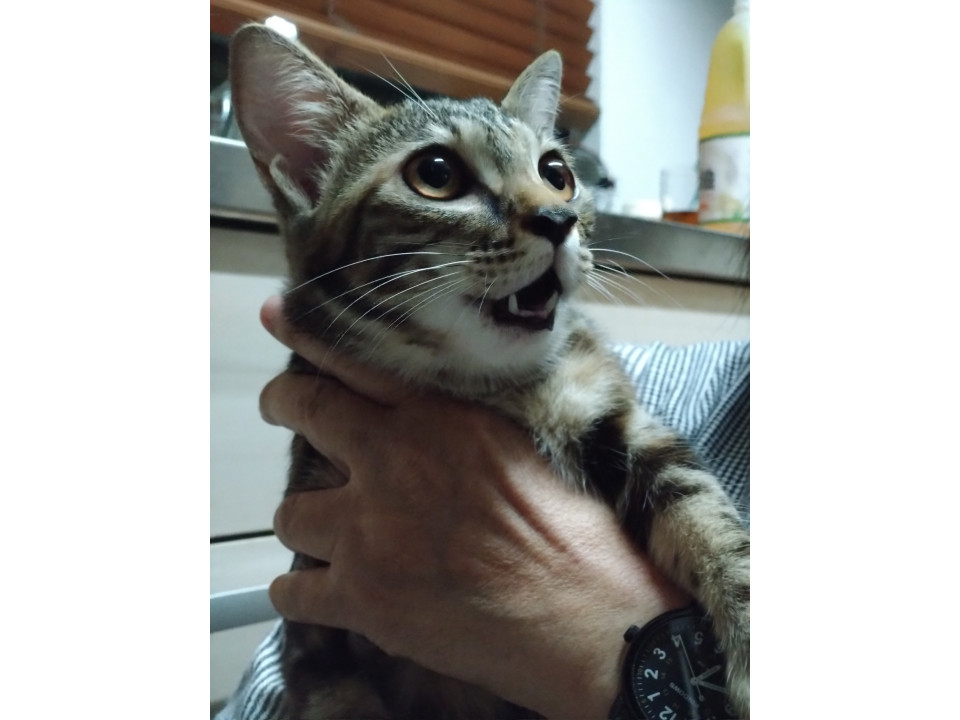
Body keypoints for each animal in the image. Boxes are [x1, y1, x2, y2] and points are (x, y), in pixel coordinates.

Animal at [229, 24, 749, 720]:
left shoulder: (617, 414)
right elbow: (336, 693)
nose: (561, 219)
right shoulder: (317, 624)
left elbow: (711, 519)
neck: (485, 380)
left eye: (556, 173)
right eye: (436, 173)